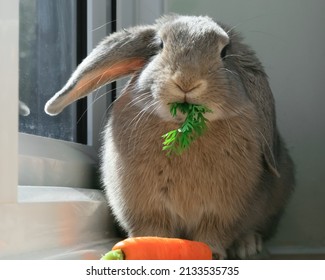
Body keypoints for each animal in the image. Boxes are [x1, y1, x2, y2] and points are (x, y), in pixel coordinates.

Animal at [44, 13, 294, 258]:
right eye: (160, 45)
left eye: (224, 52)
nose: (186, 80)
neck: (184, 127)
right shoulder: (147, 209)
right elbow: (154, 232)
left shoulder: (221, 212)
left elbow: (211, 236)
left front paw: (213, 253)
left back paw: (247, 245)